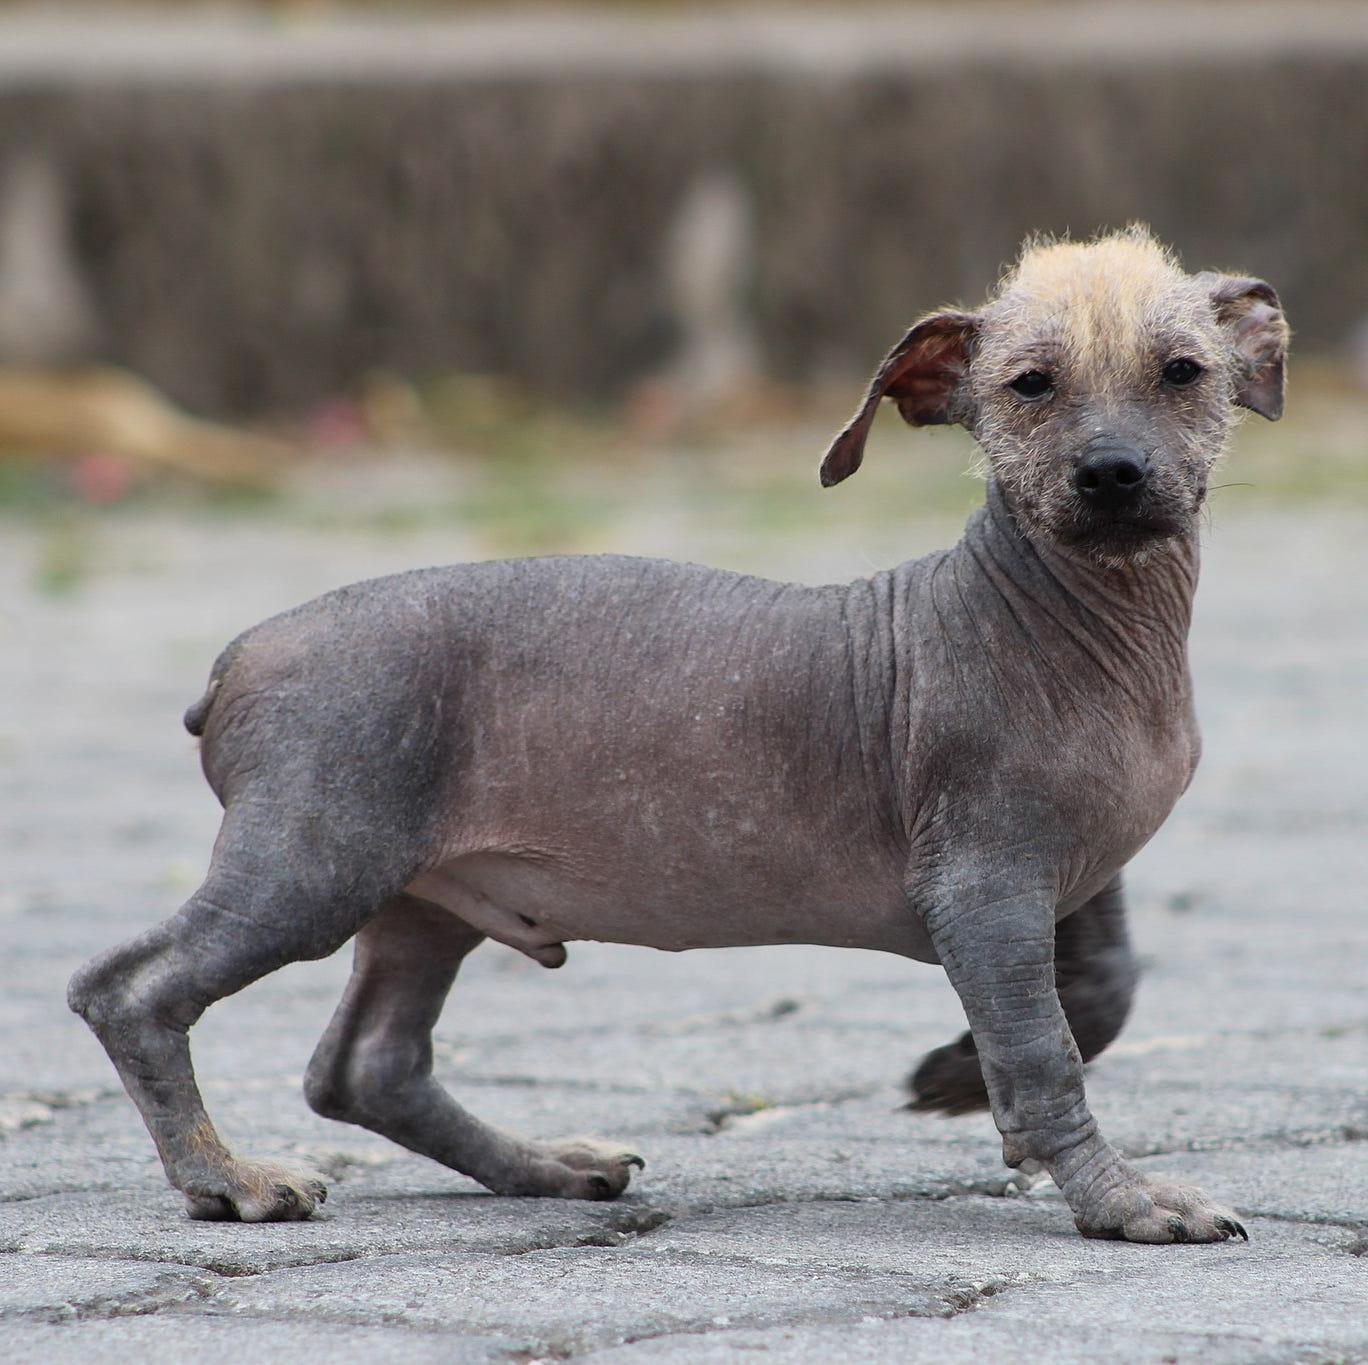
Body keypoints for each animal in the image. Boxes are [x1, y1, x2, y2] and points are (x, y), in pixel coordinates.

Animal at [69, 229, 1285, 1247]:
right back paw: (225, 1180)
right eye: (1030, 387)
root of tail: (238, 656)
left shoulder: (1073, 873)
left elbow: (1104, 989)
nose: (1113, 472)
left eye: (1183, 372)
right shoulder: (984, 885)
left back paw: (544, 1167)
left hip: (420, 898)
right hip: (312, 858)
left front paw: (951, 1073)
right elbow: (1045, 1054)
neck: (1086, 621)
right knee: (131, 990)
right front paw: (1123, 1199)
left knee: (367, 1066)